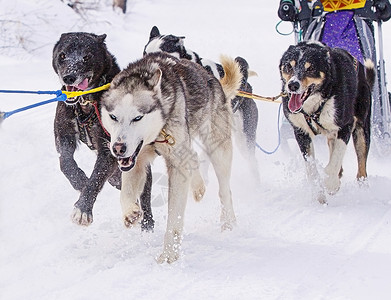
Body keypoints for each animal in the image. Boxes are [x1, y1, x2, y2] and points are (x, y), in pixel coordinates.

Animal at [51, 32, 155, 230]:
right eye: (62, 55)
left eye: (86, 57)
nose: (69, 77)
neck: (85, 104)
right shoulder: (64, 136)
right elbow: (65, 163)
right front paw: (79, 180)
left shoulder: (109, 150)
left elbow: (96, 178)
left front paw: (82, 209)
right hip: (116, 177)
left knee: (144, 197)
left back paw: (145, 223)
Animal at [101, 52, 242, 264]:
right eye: (113, 117)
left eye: (137, 118)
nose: (118, 148)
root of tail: (211, 78)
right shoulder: (136, 161)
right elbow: (125, 193)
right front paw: (130, 213)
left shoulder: (176, 166)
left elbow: (174, 219)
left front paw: (169, 254)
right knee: (192, 157)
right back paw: (198, 188)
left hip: (217, 149)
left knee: (225, 190)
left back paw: (228, 222)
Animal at [280, 40, 376, 204]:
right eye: (289, 66)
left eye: (310, 68)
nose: (293, 85)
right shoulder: (300, 132)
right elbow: (311, 168)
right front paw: (319, 194)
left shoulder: (345, 126)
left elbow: (335, 160)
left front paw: (331, 184)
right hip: (331, 134)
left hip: (361, 130)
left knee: (361, 167)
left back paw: (362, 188)